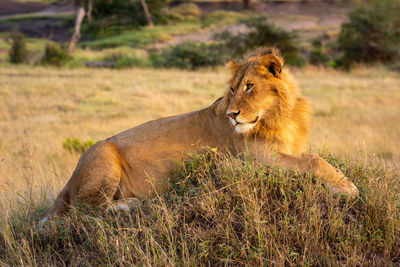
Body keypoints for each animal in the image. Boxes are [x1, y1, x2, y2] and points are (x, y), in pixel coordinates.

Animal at [39, 47, 360, 226]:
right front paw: (347, 187)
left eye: (249, 87)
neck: (280, 116)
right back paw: (129, 205)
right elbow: (314, 161)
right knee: (84, 211)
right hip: (103, 154)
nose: (232, 114)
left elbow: (312, 157)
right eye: (232, 89)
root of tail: (69, 180)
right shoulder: (255, 159)